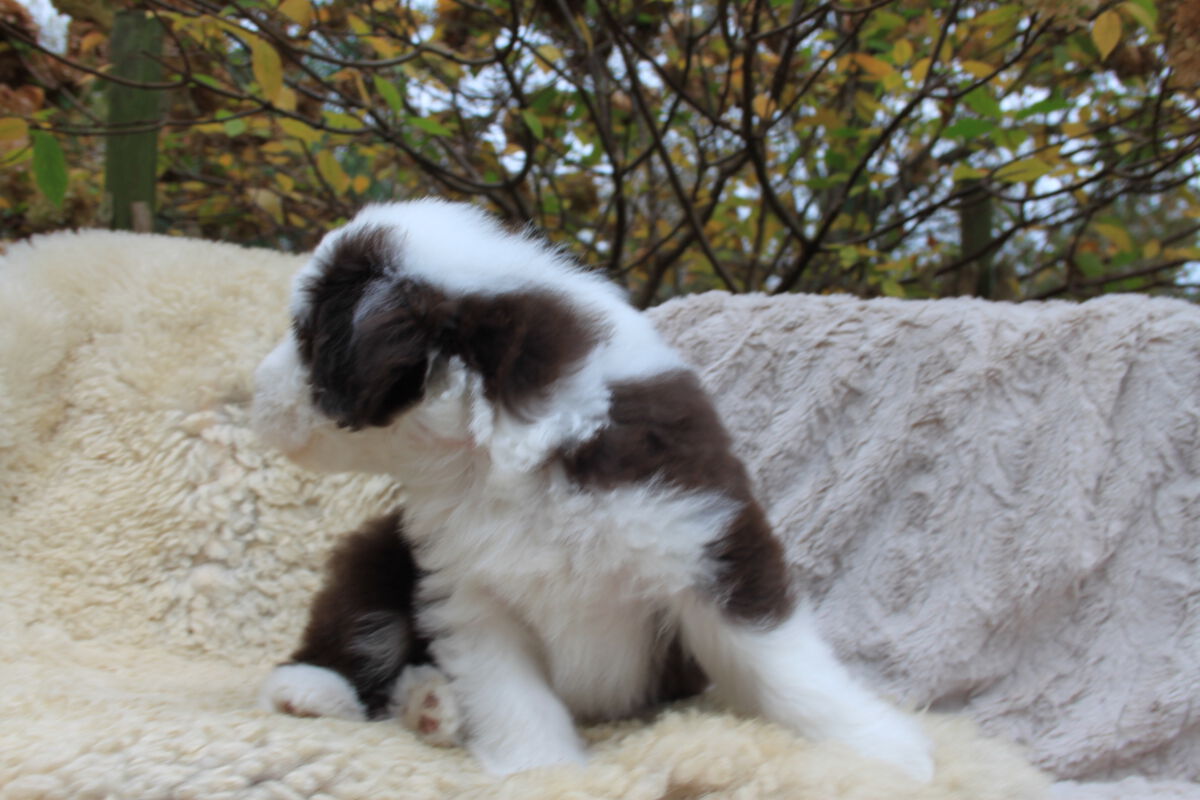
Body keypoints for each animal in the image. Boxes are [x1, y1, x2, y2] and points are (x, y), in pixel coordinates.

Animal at [251, 199, 934, 780]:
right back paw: (323, 691)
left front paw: (880, 748)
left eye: (306, 338)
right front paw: (540, 771)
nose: (253, 388)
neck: (498, 452)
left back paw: (426, 704)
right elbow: (509, 691)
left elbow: (784, 662)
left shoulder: (709, 540)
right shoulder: (467, 590)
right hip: (379, 555)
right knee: (357, 627)